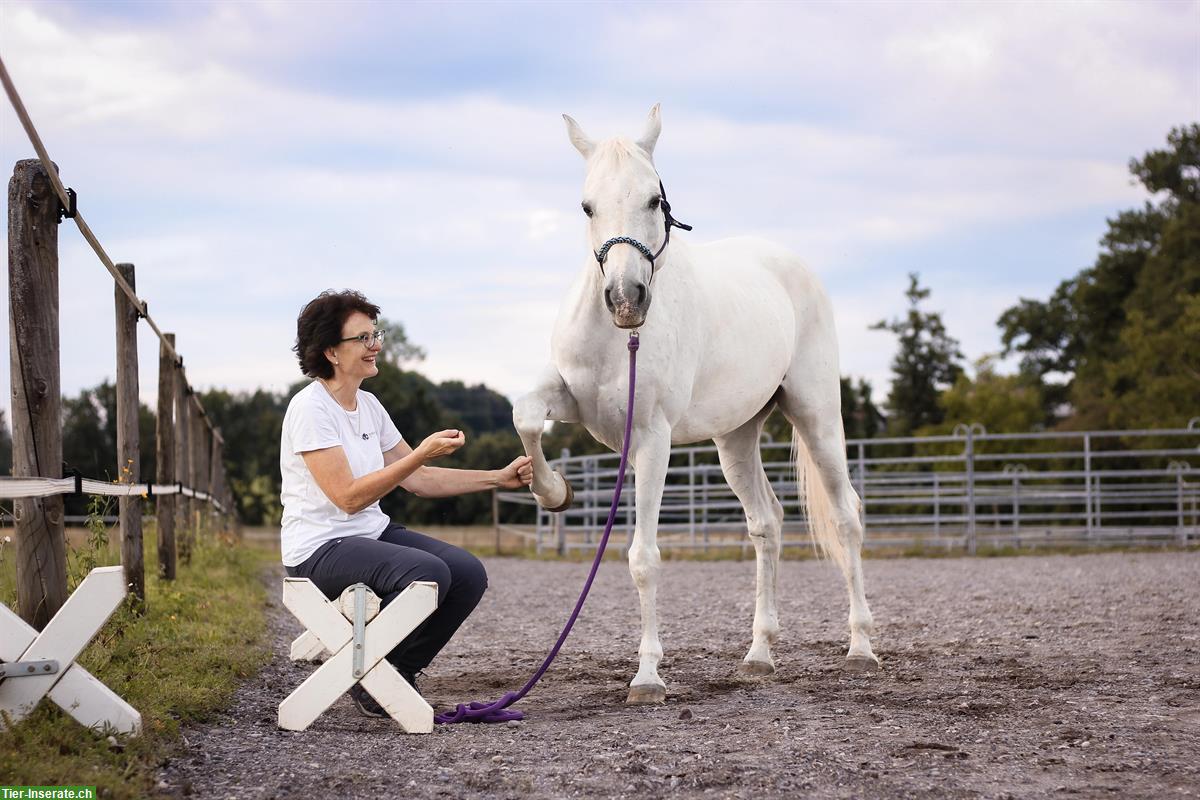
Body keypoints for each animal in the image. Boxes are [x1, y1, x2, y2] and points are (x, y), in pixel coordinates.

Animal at [511, 106, 878, 705]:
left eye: (652, 200)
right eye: (587, 206)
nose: (626, 300)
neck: (618, 339)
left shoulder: (651, 441)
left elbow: (643, 558)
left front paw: (647, 677)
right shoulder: (569, 401)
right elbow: (524, 415)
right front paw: (552, 490)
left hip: (817, 416)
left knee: (846, 516)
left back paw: (861, 647)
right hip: (736, 438)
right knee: (767, 522)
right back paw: (758, 655)